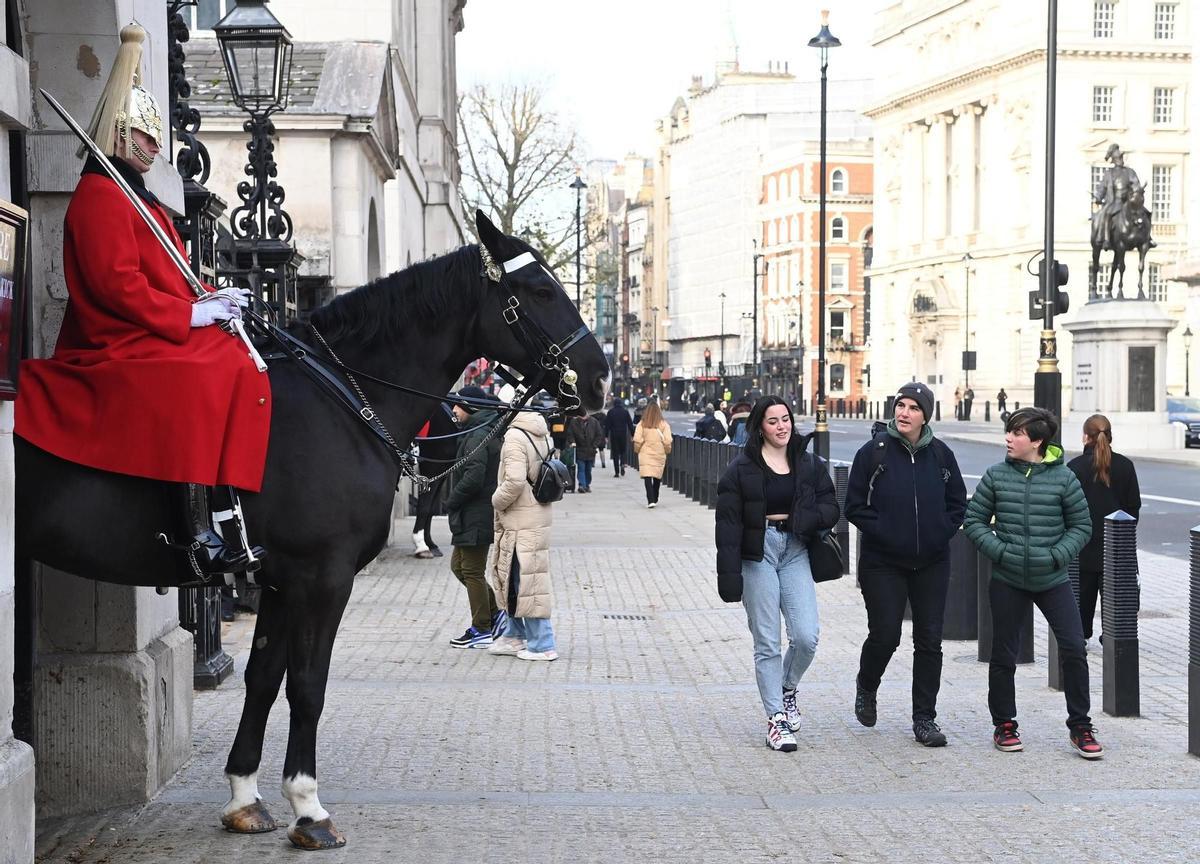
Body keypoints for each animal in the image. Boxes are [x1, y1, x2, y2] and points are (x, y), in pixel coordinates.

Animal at [14, 211, 604, 849]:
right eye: (540, 290)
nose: (600, 378)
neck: (341, 402)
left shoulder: (278, 578)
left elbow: (264, 676)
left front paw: (244, 797)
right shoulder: (322, 576)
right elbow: (307, 683)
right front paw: (308, 807)